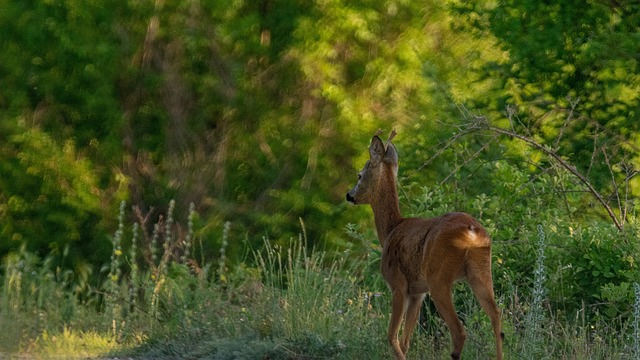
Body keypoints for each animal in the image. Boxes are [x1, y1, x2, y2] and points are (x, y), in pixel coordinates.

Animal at [348, 130, 502, 360]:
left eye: (359, 175)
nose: (350, 195)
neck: (390, 229)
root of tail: (472, 230)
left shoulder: (398, 284)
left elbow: (392, 338)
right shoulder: (417, 292)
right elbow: (406, 341)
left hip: (438, 277)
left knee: (459, 332)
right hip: (481, 271)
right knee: (496, 317)